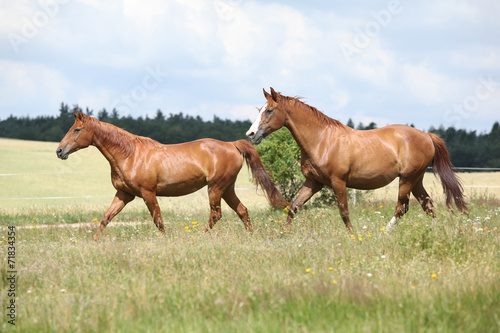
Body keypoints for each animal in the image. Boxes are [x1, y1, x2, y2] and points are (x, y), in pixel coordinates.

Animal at [57, 111, 290, 239]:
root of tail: (232, 145)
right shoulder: (124, 195)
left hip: (216, 187)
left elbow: (158, 221)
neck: (130, 155)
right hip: (227, 188)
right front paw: (94, 242)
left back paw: (200, 237)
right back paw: (251, 236)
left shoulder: (148, 193)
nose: (59, 151)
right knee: (242, 210)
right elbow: (105, 218)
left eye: (77, 129)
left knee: (216, 214)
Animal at [248, 88, 466, 233]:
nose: (250, 134)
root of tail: (427, 136)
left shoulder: (338, 182)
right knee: (427, 205)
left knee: (402, 207)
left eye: (269, 110)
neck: (322, 140)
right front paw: (284, 235)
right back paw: (437, 231)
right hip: (416, 180)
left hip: (407, 179)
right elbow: (293, 207)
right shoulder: (313, 182)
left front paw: (353, 236)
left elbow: (344, 211)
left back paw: (385, 232)